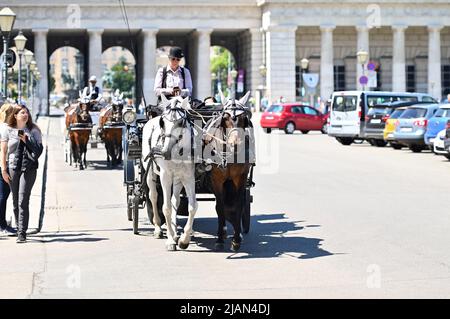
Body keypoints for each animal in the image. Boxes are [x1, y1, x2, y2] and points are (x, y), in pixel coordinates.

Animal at [141, 95, 197, 252]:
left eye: (181, 122)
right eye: (163, 122)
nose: (165, 152)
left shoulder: (188, 176)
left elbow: (192, 207)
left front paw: (184, 239)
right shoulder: (165, 176)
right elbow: (165, 207)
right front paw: (171, 240)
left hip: (177, 178)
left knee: (174, 201)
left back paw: (175, 232)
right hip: (150, 172)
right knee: (153, 196)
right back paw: (158, 228)